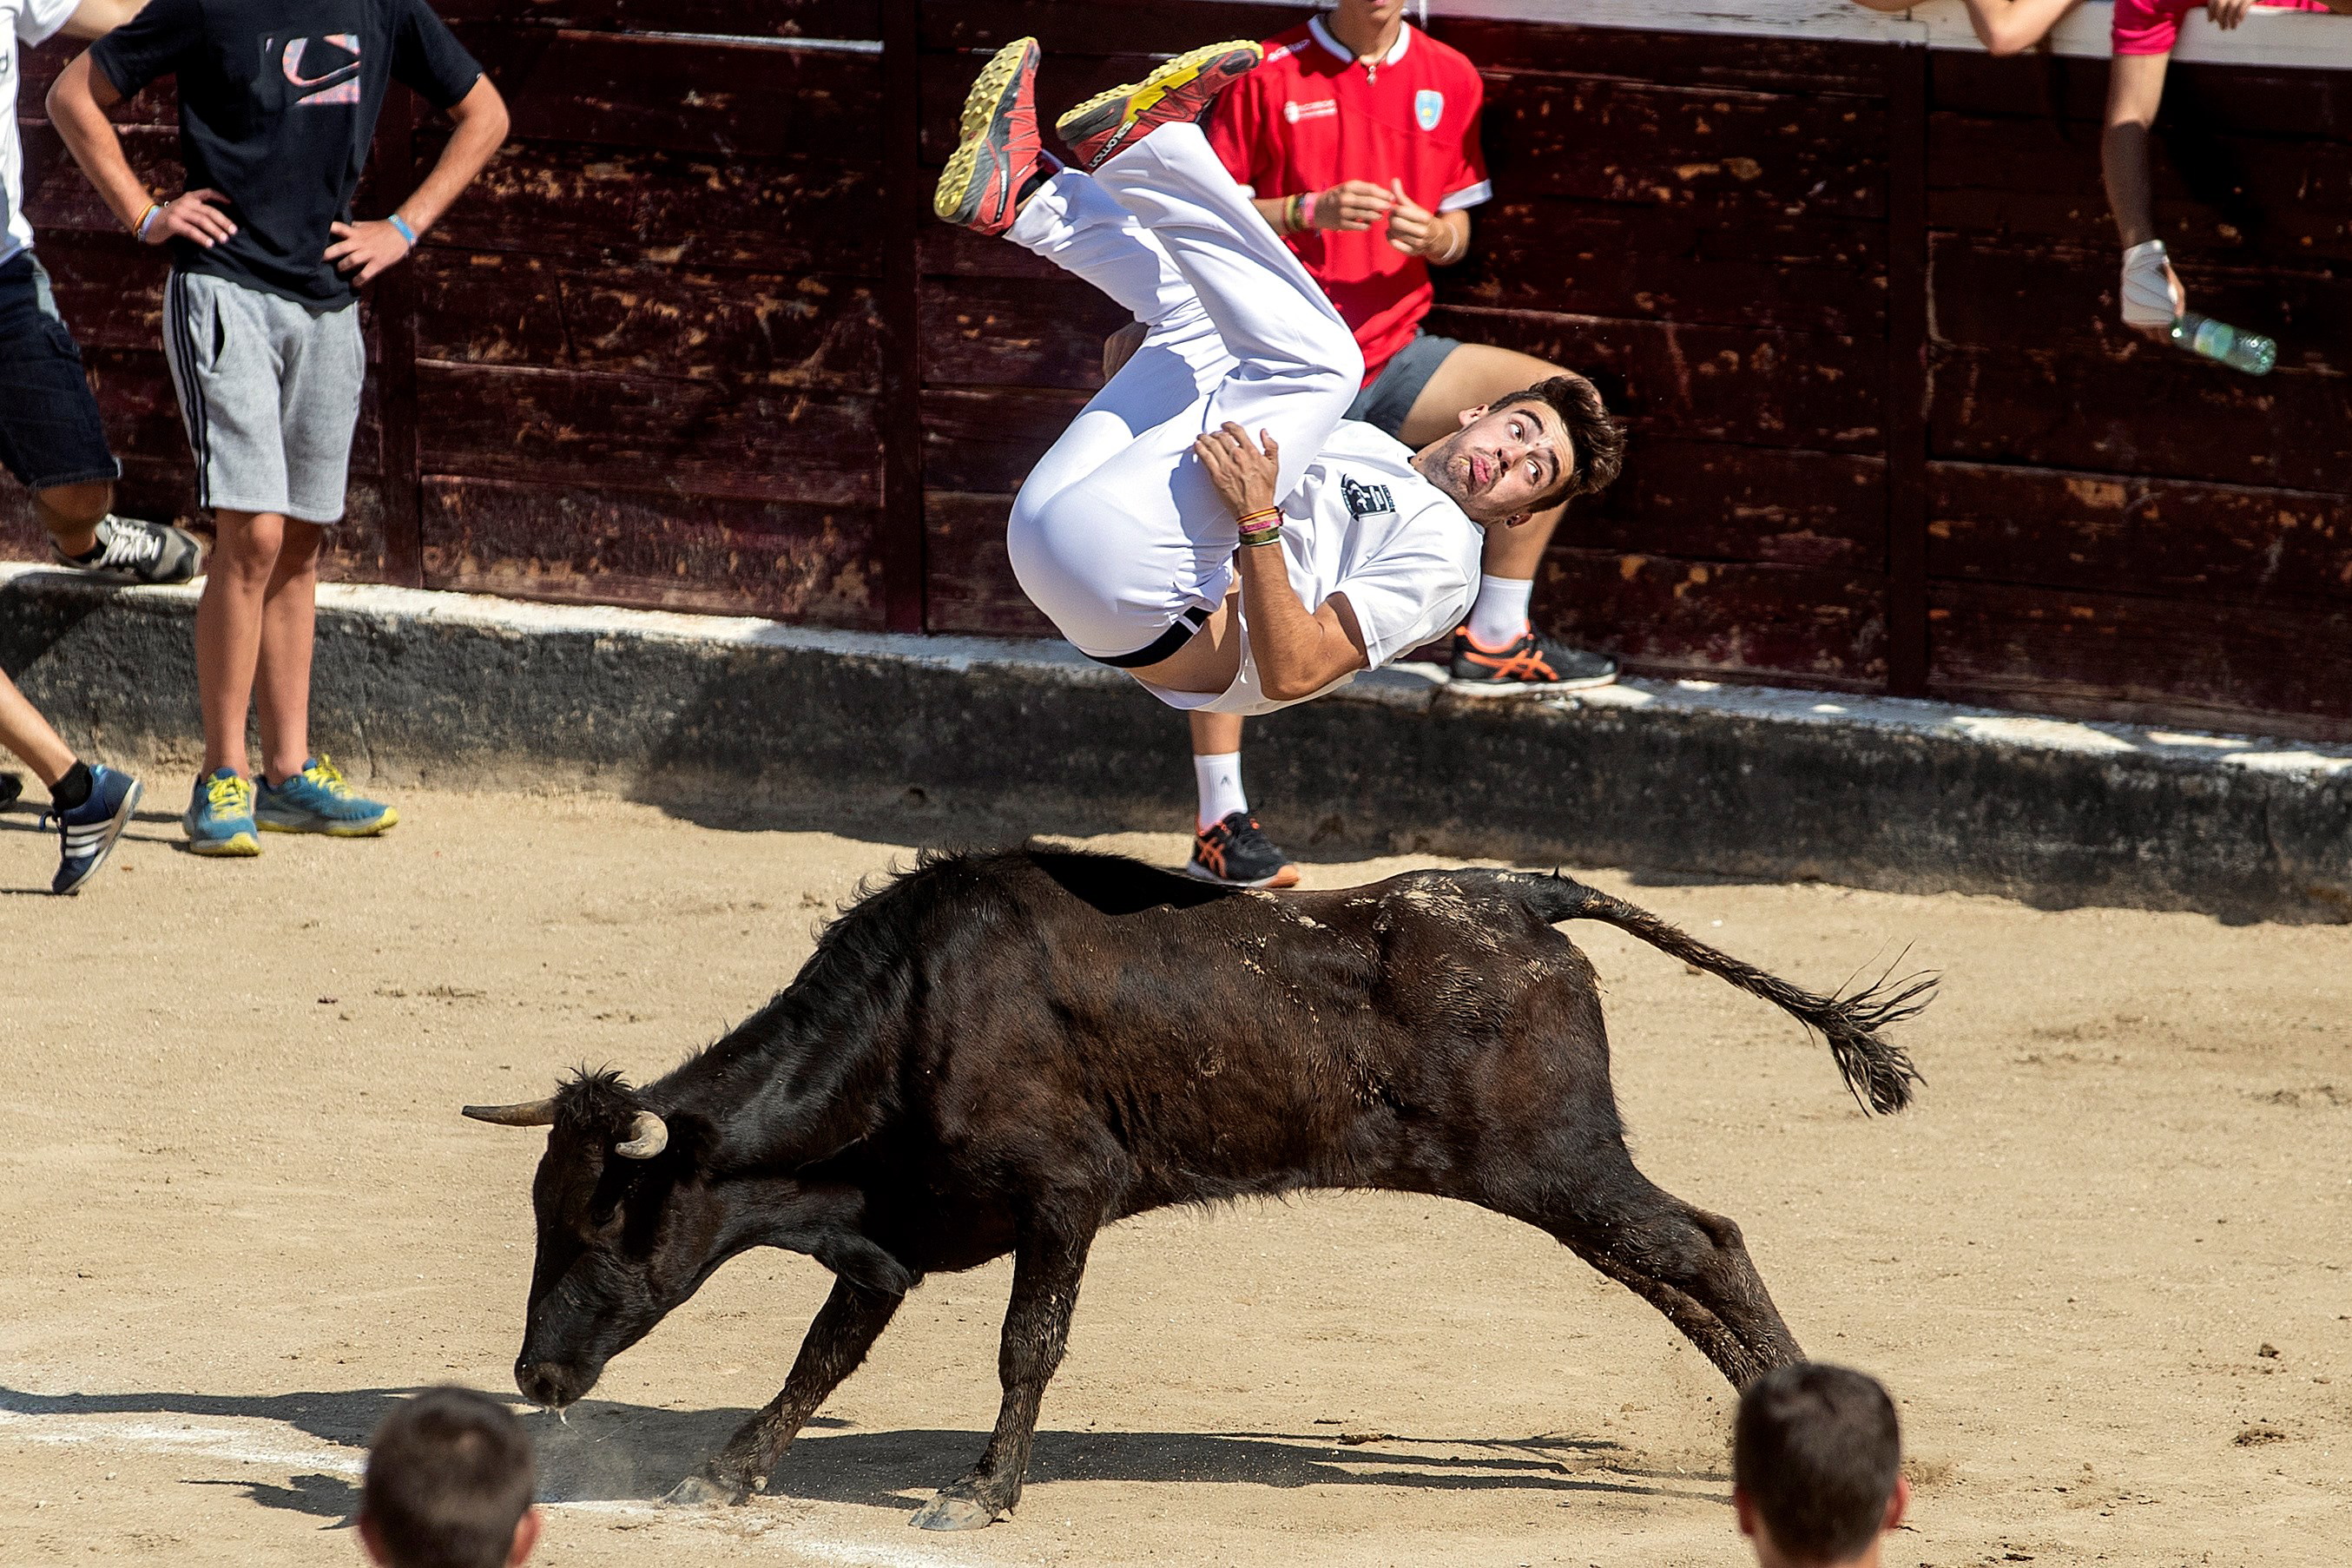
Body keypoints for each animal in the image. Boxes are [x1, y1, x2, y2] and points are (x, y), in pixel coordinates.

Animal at [463, 851, 1928, 1523]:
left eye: (606, 1214)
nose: (535, 1375)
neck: (912, 1018)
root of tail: (1519, 891)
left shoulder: (1062, 1199)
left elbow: (1027, 1345)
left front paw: (981, 1492)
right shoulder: (894, 1231)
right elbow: (822, 1356)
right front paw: (723, 1469)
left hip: (1552, 1160)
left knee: (1702, 1242)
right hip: (1552, 1172)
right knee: (1666, 1264)